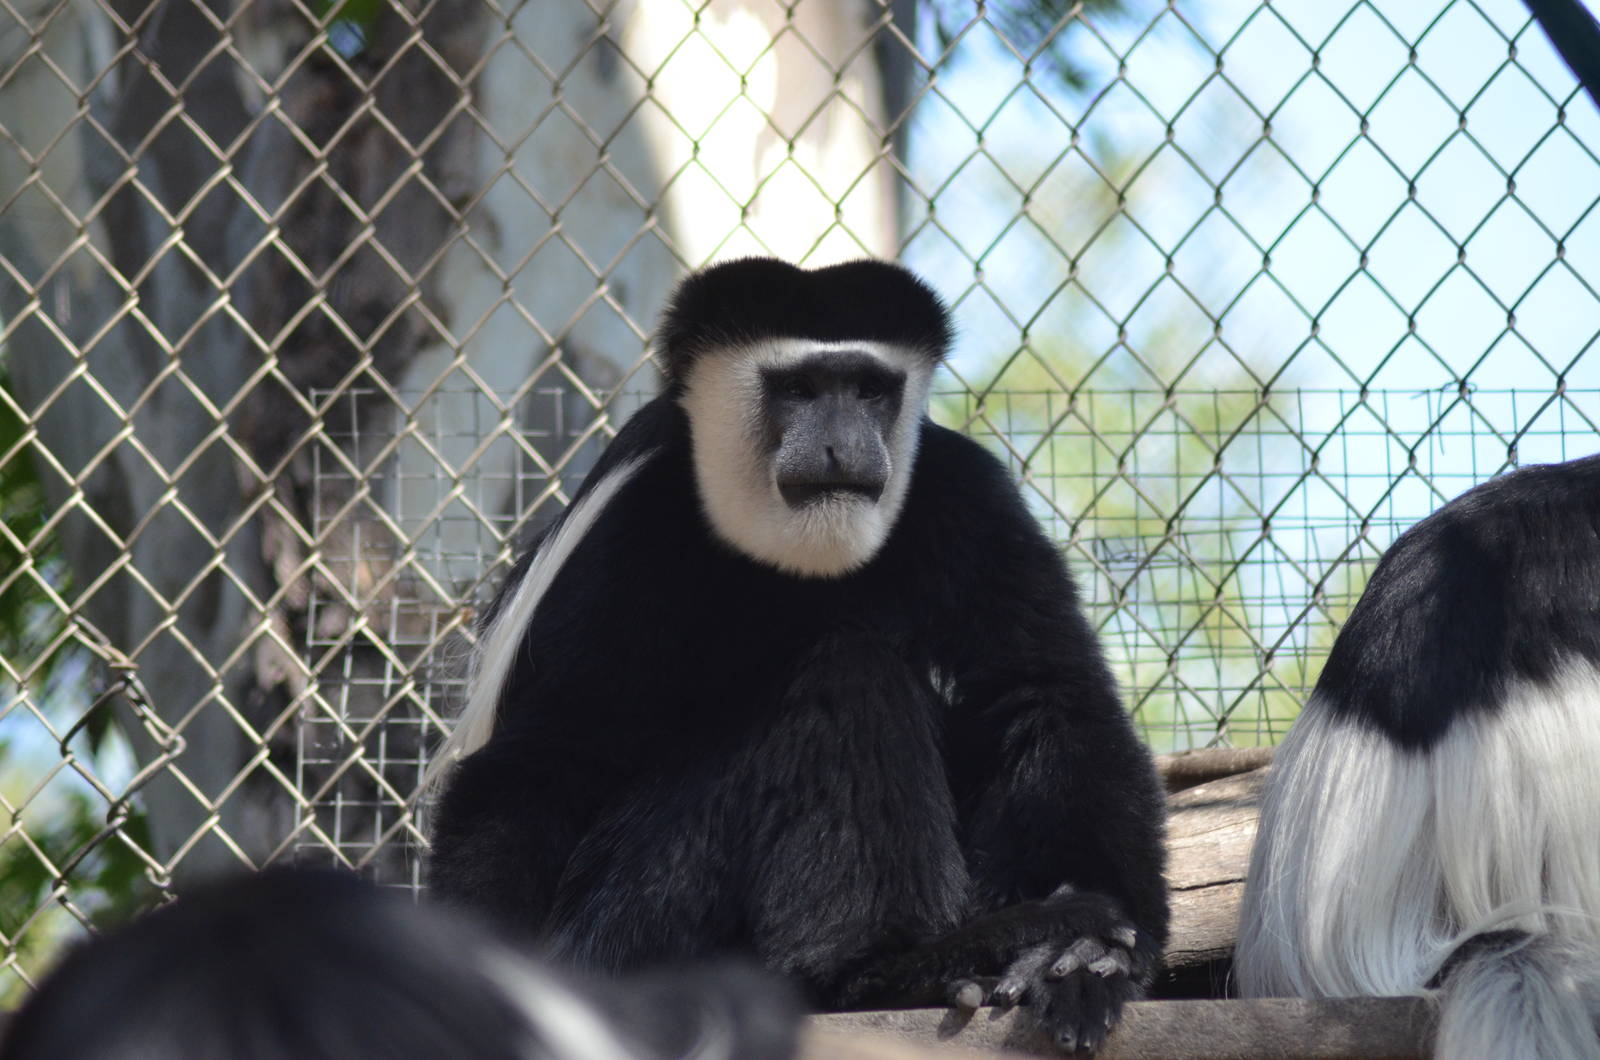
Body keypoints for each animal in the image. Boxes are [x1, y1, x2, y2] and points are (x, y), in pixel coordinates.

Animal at [426, 257, 1170, 1053]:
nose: (843, 446)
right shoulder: (626, 521)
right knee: (848, 673)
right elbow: (546, 758)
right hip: (634, 910)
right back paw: (894, 968)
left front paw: (1089, 959)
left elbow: (1044, 690)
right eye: (800, 390)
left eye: (870, 389)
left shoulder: (960, 487)